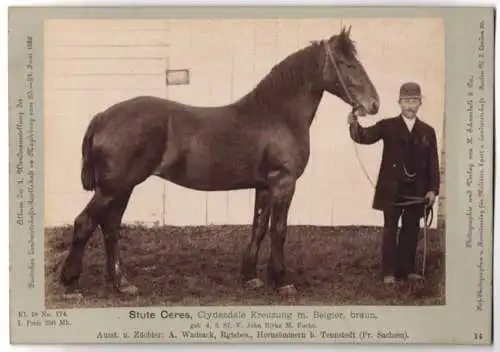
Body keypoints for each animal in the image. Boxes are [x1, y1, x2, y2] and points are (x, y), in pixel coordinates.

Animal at [58, 26, 378, 298]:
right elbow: (279, 230)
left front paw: (251, 277)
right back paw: (71, 283)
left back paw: (122, 284)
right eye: (347, 63)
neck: (277, 115)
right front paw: (282, 282)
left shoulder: (264, 186)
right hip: (114, 187)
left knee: (110, 227)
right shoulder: (284, 183)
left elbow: (259, 227)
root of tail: (103, 117)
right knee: (85, 223)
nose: (373, 104)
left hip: (123, 188)